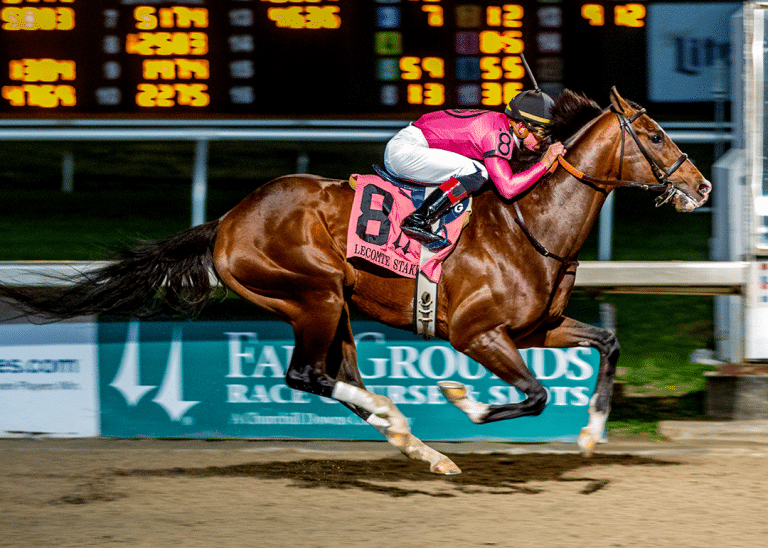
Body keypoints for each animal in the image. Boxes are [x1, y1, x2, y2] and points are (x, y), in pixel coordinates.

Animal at [1, 88, 711, 474]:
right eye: (653, 135)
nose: (701, 186)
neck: (531, 224)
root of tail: (227, 220)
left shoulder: (539, 327)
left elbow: (607, 344)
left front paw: (590, 435)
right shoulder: (477, 333)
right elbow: (532, 395)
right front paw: (463, 399)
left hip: (335, 303)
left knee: (337, 375)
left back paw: (416, 444)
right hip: (309, 293)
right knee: (307, 375)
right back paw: (402, 425)